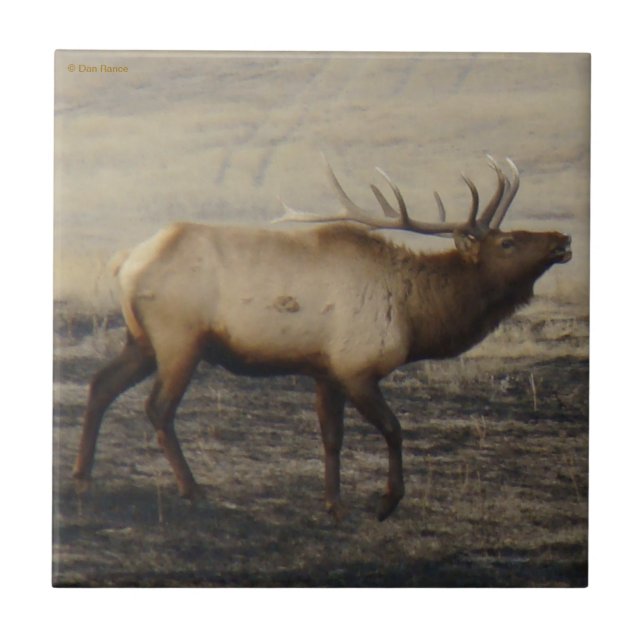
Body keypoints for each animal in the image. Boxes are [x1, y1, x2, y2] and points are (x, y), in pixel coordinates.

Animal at [72, 155, 572, 521]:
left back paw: (83, 478)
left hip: (141, 340)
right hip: (179, 338)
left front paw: (334, 504)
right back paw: (193, 491)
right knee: (158, 407)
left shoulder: (325, 370)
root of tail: (126, 261)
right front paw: (386, 502)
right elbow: (393, 429)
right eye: (507, 243)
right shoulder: (357, 367)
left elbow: (332, 437)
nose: (562, 239)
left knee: (100, 385)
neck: (415, 317)